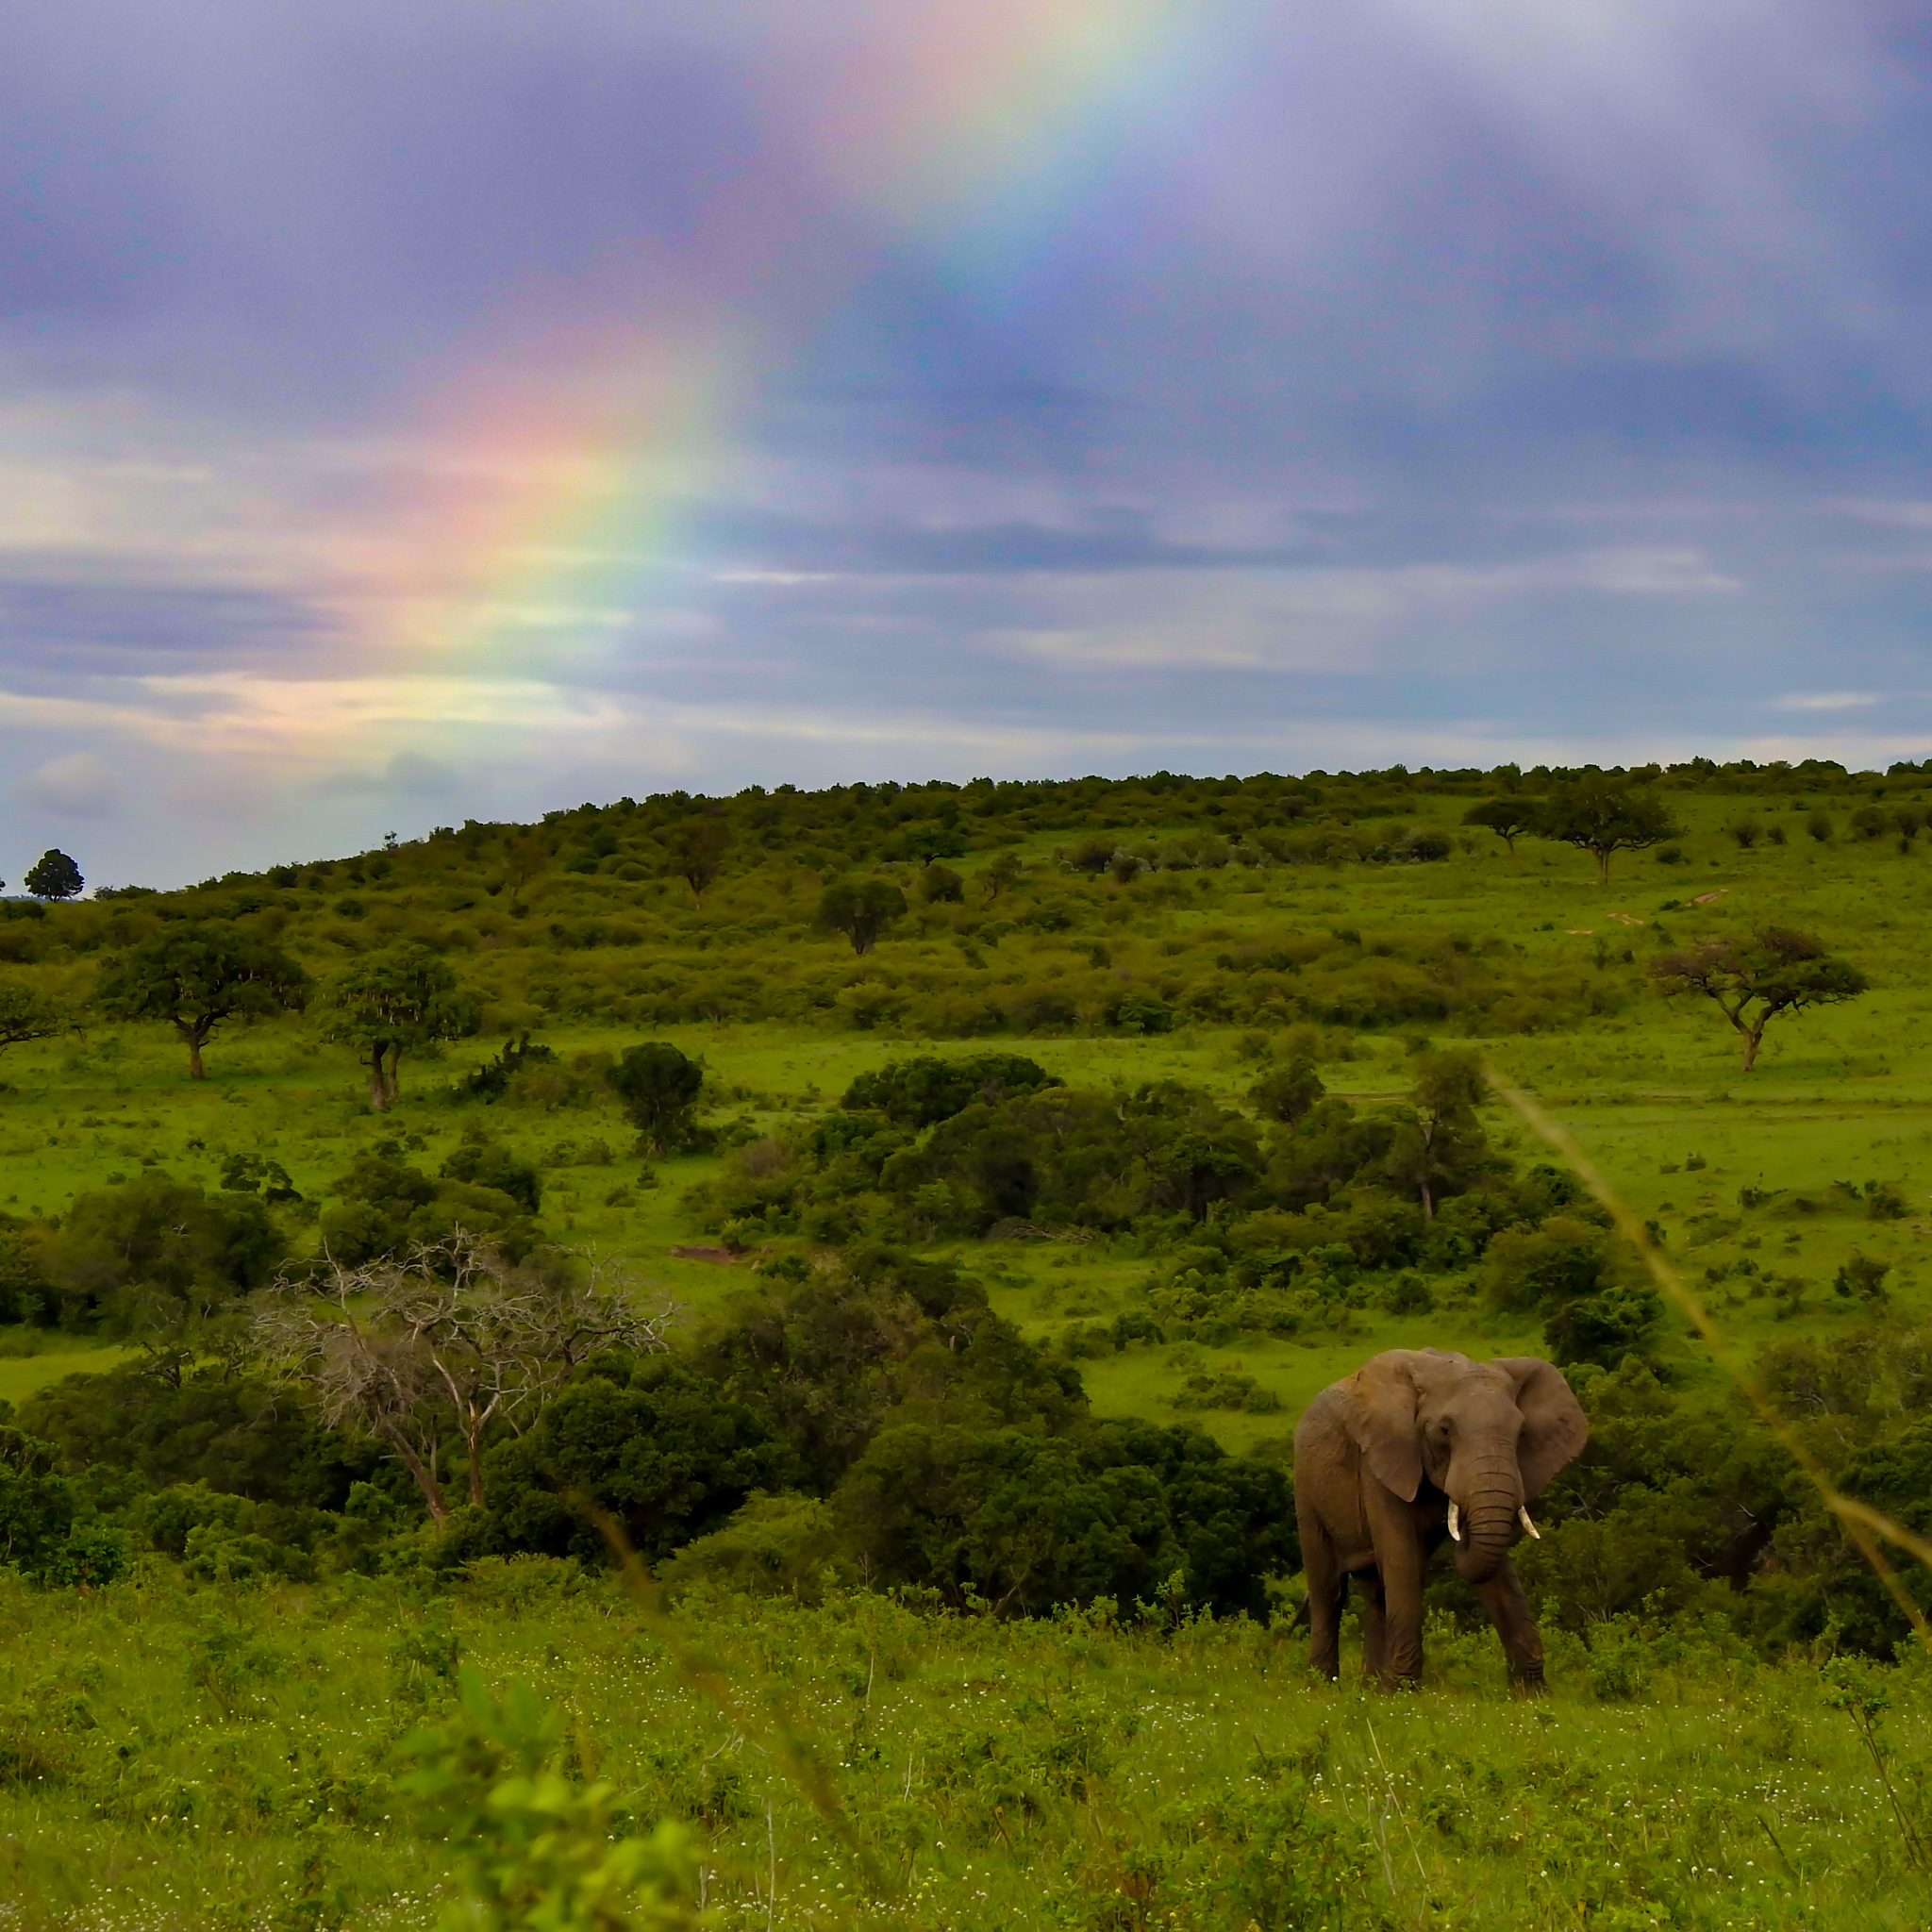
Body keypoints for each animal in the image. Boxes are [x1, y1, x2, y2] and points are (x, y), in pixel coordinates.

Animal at [1291, 1352, 1591, 1684]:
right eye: (1445, 1431)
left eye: (1521, 1433)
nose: (1458, 1538)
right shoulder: (1381, 1460)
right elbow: (1403, 1561)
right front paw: (1402, 1691)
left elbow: (1498, 1576)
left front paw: (1534, 1692)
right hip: (1306, 1488)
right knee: (1329, 1591)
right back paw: (1322, 1687)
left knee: (1375, 1595)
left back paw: (1368, 1687)